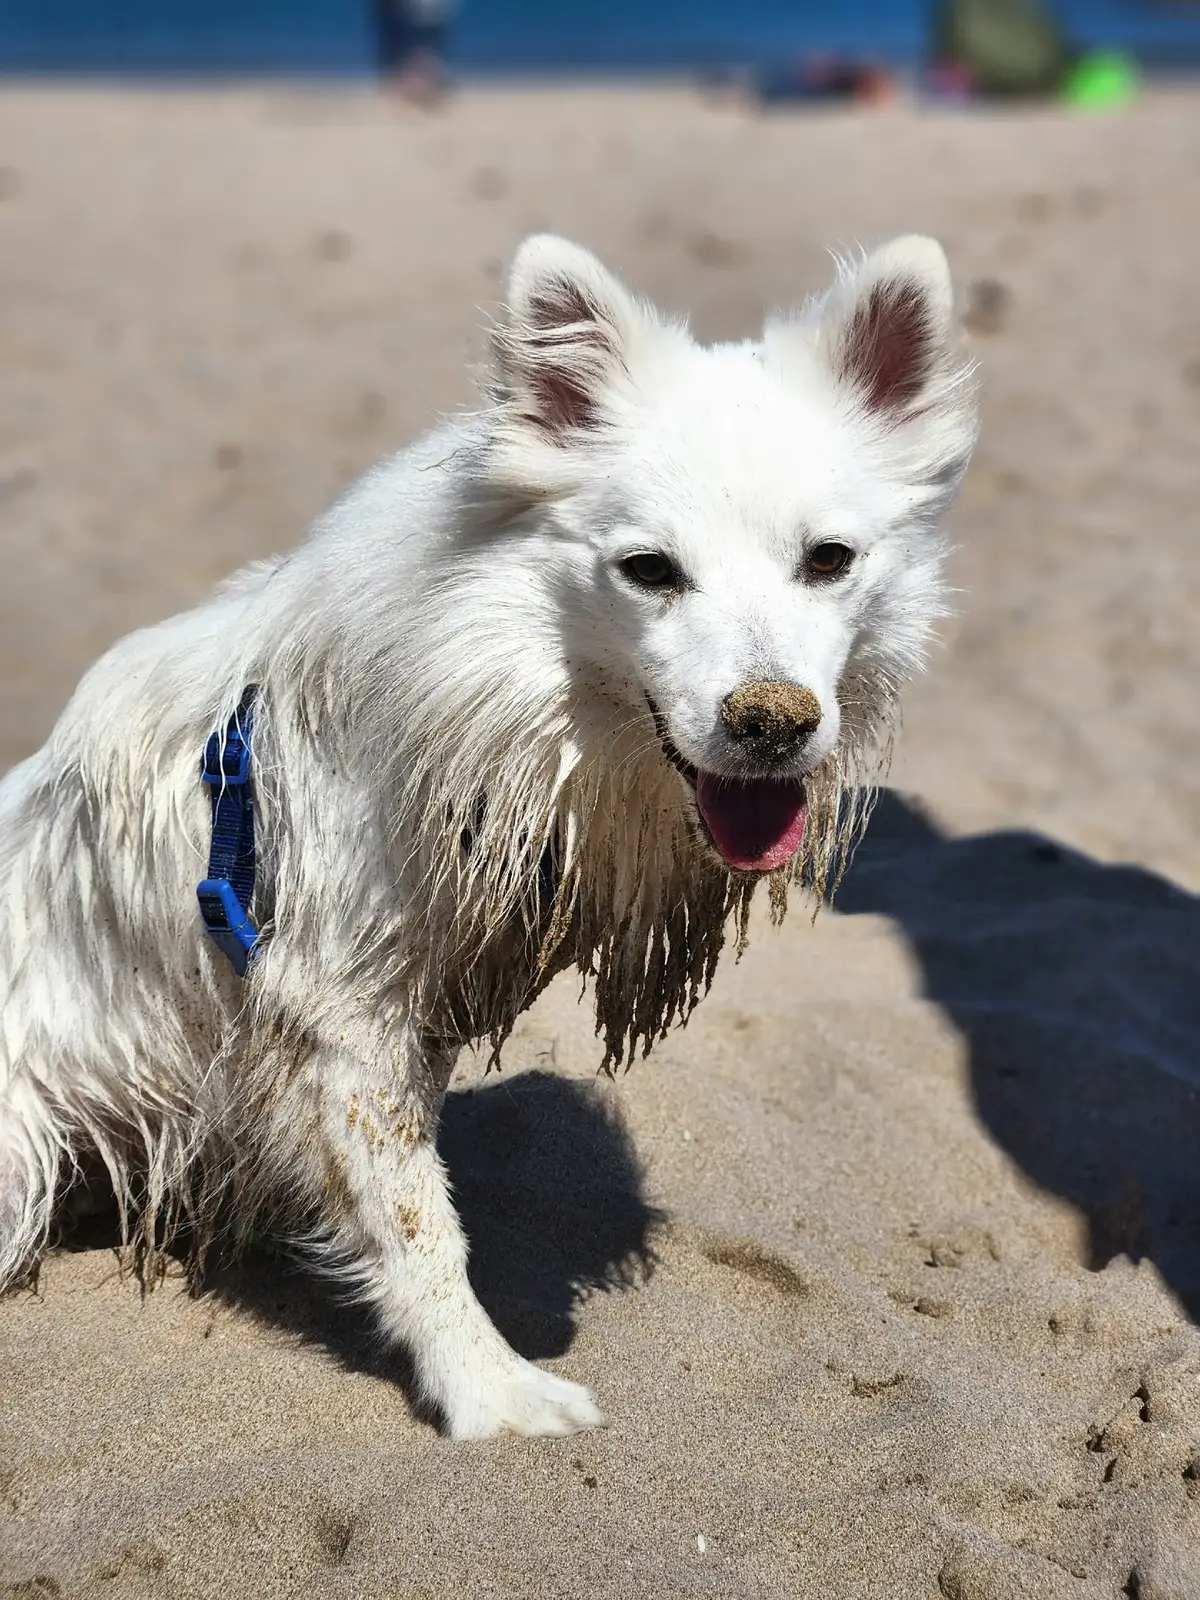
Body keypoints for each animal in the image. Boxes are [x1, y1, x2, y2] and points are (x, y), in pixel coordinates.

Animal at [0, 233, 979, 1440]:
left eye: (830, 559)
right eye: (650, 569)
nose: (773, 721)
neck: (485, 682)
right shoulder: (338, 1010)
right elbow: (417, 1221)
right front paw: (491, 1393)